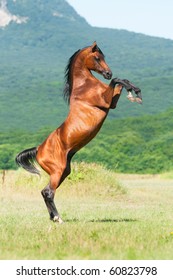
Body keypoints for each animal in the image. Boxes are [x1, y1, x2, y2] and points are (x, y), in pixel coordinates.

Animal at [15, 41, 142, 223]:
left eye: (103, 57)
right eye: (97, 58)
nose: (108, 73)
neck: (85, 85)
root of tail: (38, 149)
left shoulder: (111, 103)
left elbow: (121, 81)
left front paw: (135, 92)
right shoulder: (106, 101)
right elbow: (117, 81)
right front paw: (135, 93)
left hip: (63, 172)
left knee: (44, 191)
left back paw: (53, 218)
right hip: (57, 171)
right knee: (48, 192)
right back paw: (58, 219)